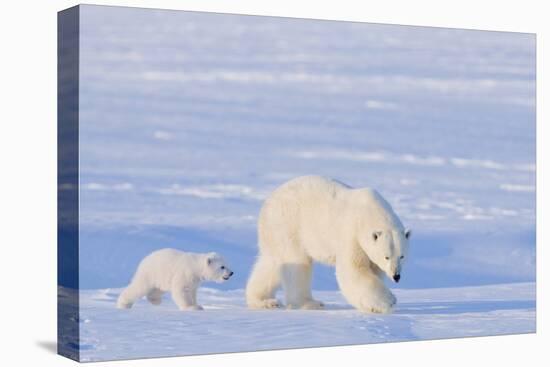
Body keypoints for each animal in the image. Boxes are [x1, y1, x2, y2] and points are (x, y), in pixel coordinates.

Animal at [246, 177, 410, 314]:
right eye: (386, 256)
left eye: (402, 256)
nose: (396, 276)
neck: (369, 213)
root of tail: (268, 203)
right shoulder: (350, 234)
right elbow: (353, 270)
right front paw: (389, 301)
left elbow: (373, 270)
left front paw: (372, 306)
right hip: (288, 225)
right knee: (297, 263)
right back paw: (310, 303)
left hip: (275, 233)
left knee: (272, 263)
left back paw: (263, 300)